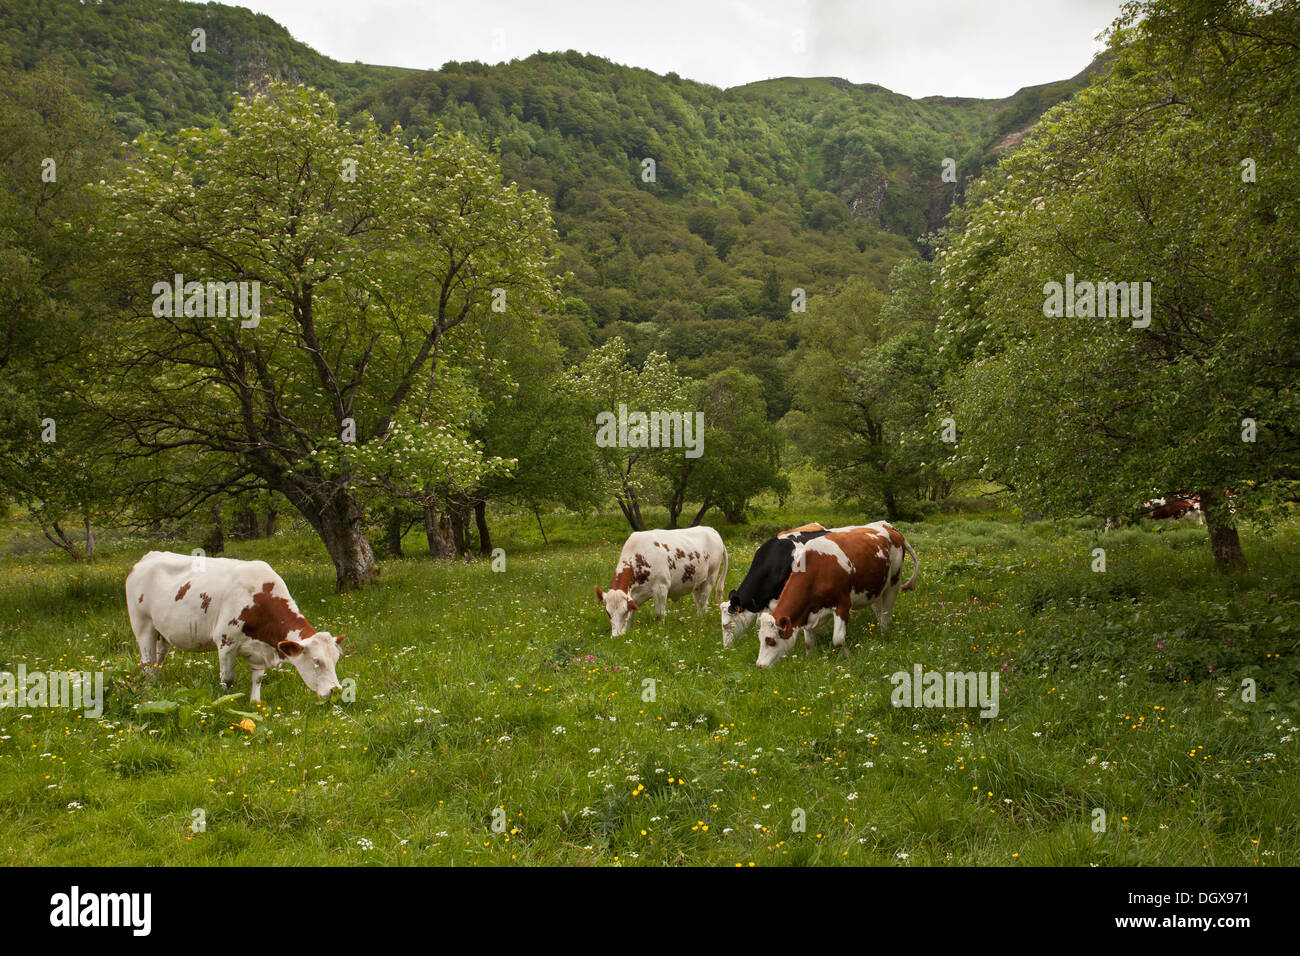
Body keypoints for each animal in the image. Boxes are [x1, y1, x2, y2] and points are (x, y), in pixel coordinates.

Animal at [122, 554, 343, 702]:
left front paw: (255, 704)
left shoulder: (259, 649)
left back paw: (155, 686)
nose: (336, 690)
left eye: (335, 660)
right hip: (142, 625)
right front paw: (225, 702)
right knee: (147, 661)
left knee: (158, 659)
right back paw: (149, 691)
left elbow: (258, 677)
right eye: (317, 661)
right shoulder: (226, 642)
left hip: (162, 632)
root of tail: (148, 556)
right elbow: (227, 680)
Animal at [598, 528, 733, 639]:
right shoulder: (634, 595)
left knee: (702, 603)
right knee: (701, 603)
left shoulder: (661, 587)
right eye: (608, 613)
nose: (615, 637)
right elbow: (631, 615)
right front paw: (626, 631)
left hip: (710, 578)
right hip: (698, 583)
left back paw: (699, 622)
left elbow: (659, 613)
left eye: (623, 612)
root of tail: (712, 530)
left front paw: (660, 631)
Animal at [754, 520, 915, 671]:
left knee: (886, 614)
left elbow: (837, 640)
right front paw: (809, 660)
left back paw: (884, 635)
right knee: (880, 611)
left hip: (893, 584)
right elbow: (808, 643)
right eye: (760, 639)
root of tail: (889, 527)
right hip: (876, 589)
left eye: (770, 640)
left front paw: (847, 658)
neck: (818, 569)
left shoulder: (843, 604)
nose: (759, 666)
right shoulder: (807, 611)